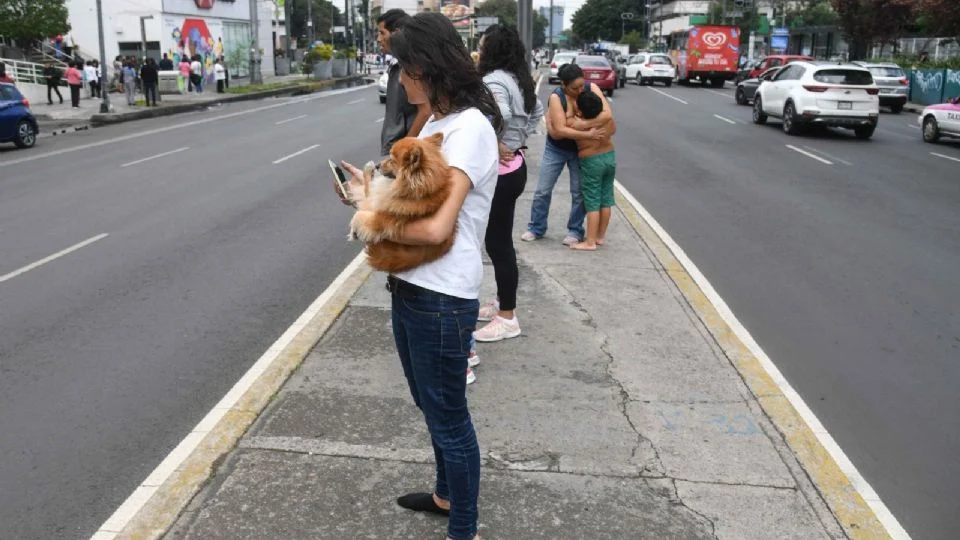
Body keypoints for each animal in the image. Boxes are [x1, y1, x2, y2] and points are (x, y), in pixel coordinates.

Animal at [350, 133, 456, 272]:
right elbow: (366, 191)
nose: (378, 165)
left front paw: (353, 230)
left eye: (391, 160)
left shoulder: (379, 217)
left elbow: (359, 214)